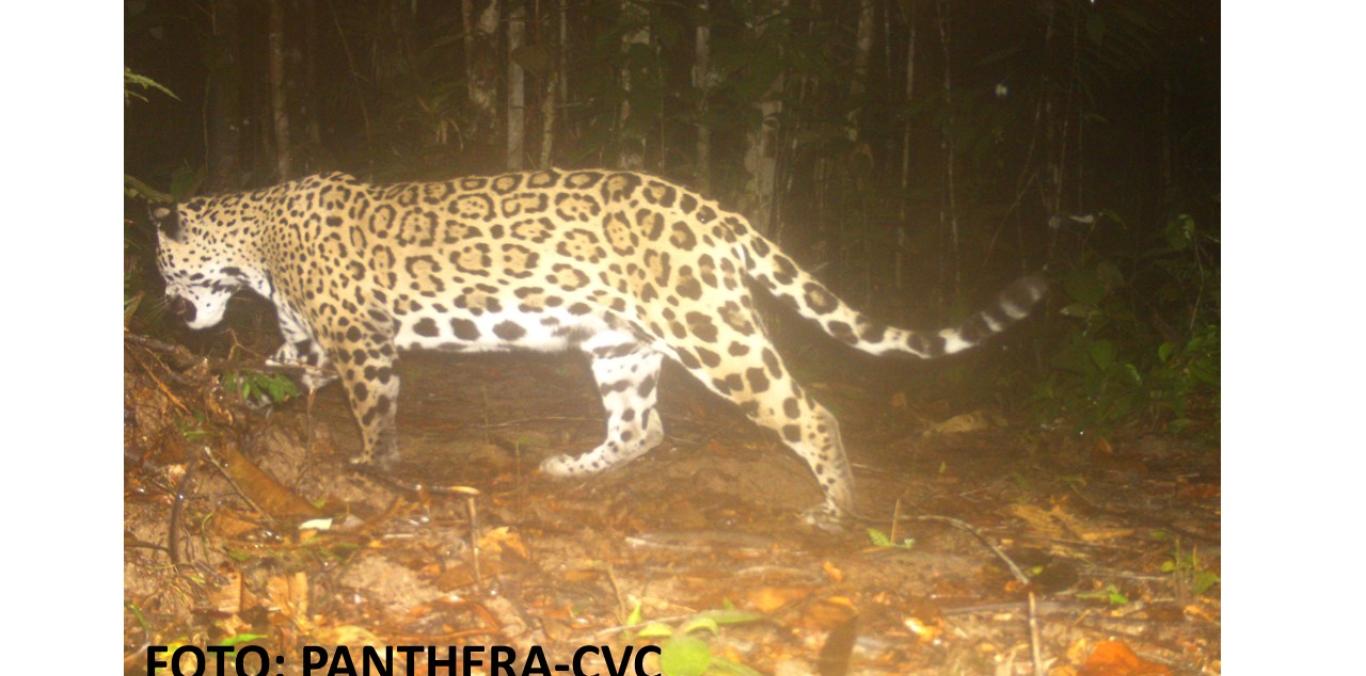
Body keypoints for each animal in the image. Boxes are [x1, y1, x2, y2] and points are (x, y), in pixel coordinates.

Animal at [153, 169, 1047, 525]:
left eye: (160, 265)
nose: (165, 310)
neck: (255, 246)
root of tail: (714, 210)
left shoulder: (360, 341)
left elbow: (374, 413)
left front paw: (372, 469)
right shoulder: (318, 342)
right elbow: (281, 369)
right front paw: (226, 387)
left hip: (711, 328)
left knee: (808, 411)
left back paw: (837, 509)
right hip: (623, 344)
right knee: (642, 427)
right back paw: (572, 469)